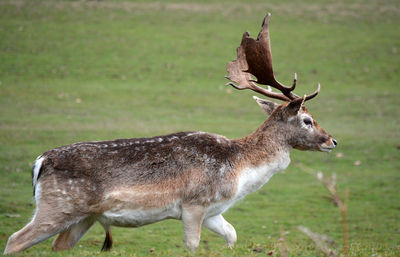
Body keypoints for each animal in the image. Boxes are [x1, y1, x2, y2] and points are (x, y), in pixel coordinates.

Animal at [3, 13, 336, 253]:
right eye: (307, 119)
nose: (333, 140)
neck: (240, 169)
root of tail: (39, 162)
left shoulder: (214, 211)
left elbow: (232, 235)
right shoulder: (193, 203)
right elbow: (193, 245)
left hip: (82, 218)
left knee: (57, 246)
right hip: (58, 206)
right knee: (13, 241)